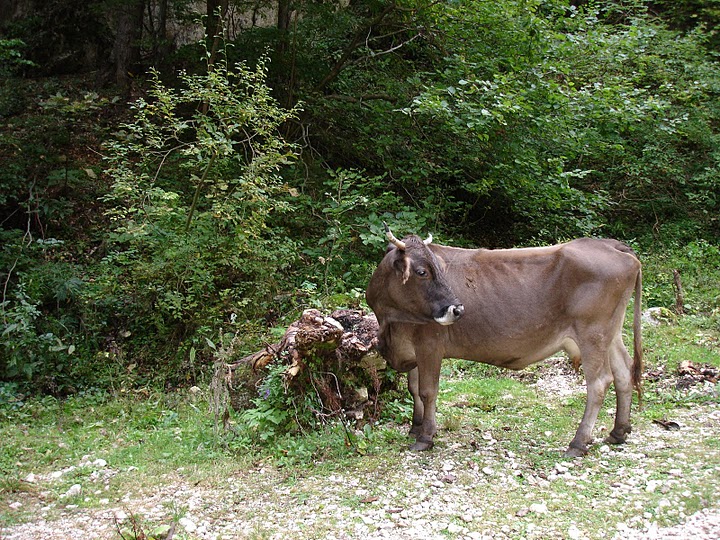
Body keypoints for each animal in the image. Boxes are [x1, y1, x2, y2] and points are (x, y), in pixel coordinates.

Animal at [366, 226, 640, 458]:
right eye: (422, 271)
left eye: (439, 269)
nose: (457, 309)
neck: (391, 321)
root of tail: (609, 244)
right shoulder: (411, 346)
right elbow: (413, 389)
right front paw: (415, 427)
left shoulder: (430, 345)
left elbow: (427, 391)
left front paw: (425, 437)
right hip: (610, 333)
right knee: (624, 372)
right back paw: (619, 432)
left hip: (592, 333)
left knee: (599, 382)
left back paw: (578, 442)